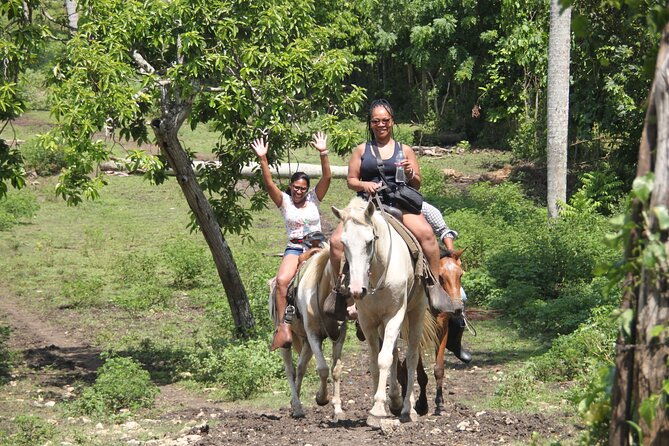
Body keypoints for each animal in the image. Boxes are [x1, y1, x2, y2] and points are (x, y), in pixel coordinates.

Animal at [269, 246, 347, 421]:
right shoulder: (313, 335)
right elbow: (323, 369)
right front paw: (321, 398)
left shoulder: (339, 336)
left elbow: (336, 370)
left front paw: (338, 409)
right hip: (287, 341)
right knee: (290, 370)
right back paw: (298, 408)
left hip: (305, 341)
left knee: (300, 367)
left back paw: (294, 404)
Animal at [331, 197, 427, 426]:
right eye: (343, 243)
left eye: (369, 242)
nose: (357, 290)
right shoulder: (368, 321)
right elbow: (376, 361)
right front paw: (379, 406)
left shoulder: (395, 315)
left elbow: (384, 359)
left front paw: (377, 409)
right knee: (395, 352)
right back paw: (396, 401)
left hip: (416, 311)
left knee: (411, 356)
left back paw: (408, 409)